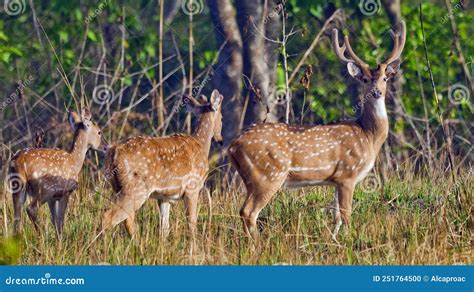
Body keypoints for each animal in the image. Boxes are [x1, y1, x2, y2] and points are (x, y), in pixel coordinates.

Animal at [8, 108, 105, 236]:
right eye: (99, 132)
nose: (105, 146)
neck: (75, 161)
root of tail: (19, 161)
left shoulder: (53, 198)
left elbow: (54, 221)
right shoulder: (65, 191)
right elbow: (60, 222)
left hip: (17, 187)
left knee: (16, 217)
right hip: (45, 189)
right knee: (31, 208)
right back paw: (42, 237)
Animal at [101, 89, 223, 249]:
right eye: (222, 117)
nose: (220, 139)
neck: (201, 145)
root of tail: (113, 151)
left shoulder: (164, 197)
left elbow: (164, 228)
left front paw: (163, 248)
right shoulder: (193, 188)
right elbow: (191, 223)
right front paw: (194, 251)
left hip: (117, 187)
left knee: (126, 219)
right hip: (136, 188)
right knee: (109, 217)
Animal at [228, 21, 406, 240]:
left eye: (384, 78)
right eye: (364, 79)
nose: (377, 92)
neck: (368, 136)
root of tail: (232, 146)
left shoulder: (336, 180)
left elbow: (336, 217)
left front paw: (333, 240)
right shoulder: (347, 174)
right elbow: (346, 215)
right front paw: (350, 240)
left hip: (251, 178)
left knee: (243, 211)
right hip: (269, 174)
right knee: (249, 212)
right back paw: (258, 244)